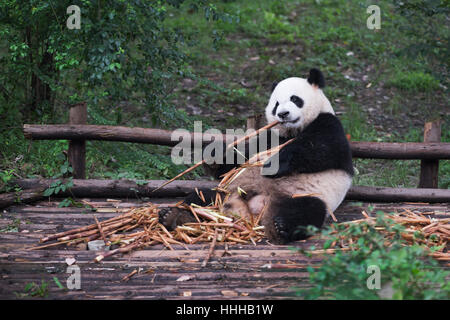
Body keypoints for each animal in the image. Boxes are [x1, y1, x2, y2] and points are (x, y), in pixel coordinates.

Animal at [160, 69, 354, 244]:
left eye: (295, 99)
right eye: (276, 104)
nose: (283, 114)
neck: (292, 132)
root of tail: (256, 209)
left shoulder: (328, 124)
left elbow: (322, 150)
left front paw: (274, 165)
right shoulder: (268, 136)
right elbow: (238, 161)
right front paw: (214, 155)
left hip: (303, 195)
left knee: (307, 211)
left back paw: (280, 227)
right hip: (226, 192)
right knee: (199, 198)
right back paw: (175, 216)